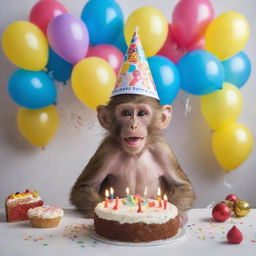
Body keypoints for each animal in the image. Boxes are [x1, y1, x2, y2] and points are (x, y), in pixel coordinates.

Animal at [69, 94, 195, 224]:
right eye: (126, 113)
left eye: (142, 113)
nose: (133, 125)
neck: (136, 154)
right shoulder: (106, 151)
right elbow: (83, 187)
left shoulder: (164, 151)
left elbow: (182, 186)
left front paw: (179, 215)